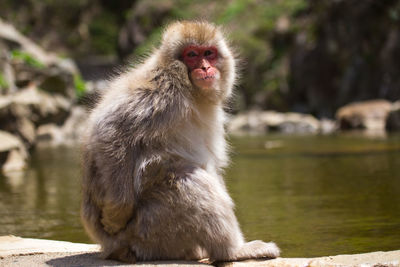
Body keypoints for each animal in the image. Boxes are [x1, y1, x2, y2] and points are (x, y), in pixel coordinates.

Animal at [80, 21, 282, 264]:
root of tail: (110, 247)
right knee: (188, 178)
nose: (205, 68)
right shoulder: (162, 94)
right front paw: (117, 213)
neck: (190, 89)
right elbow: (110, 131)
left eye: (209, 53)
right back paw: (232, 251)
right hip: (147, 231)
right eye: (192, 55)